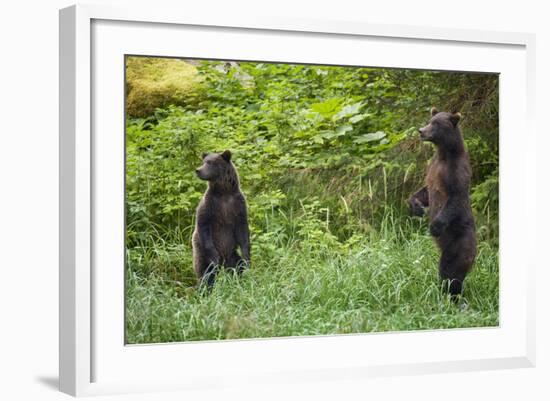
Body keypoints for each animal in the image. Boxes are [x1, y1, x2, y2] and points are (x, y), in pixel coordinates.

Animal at [193, 150, 251, 288]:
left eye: (210, 162)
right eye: (204, 162)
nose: (198, 170)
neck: (224, 192)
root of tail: (225, 262)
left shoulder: (238, 205)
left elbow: (243, 231)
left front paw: (247, 256)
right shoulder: (210, 205)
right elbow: (203, 224)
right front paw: (214, 256)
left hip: (232, 255)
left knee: (238, 266)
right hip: (201, 253)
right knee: (205, 274)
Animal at [410, 108, 478, 296]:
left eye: (436, 124)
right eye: (430, 120)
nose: (421, 131)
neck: (444, 154)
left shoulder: (456, 171)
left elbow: (456, 197)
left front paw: (434, 227)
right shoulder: (433, 167)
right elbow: (425, 190)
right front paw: (416, 206)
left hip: (460, 242)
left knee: (451, 272)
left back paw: (452, 295)